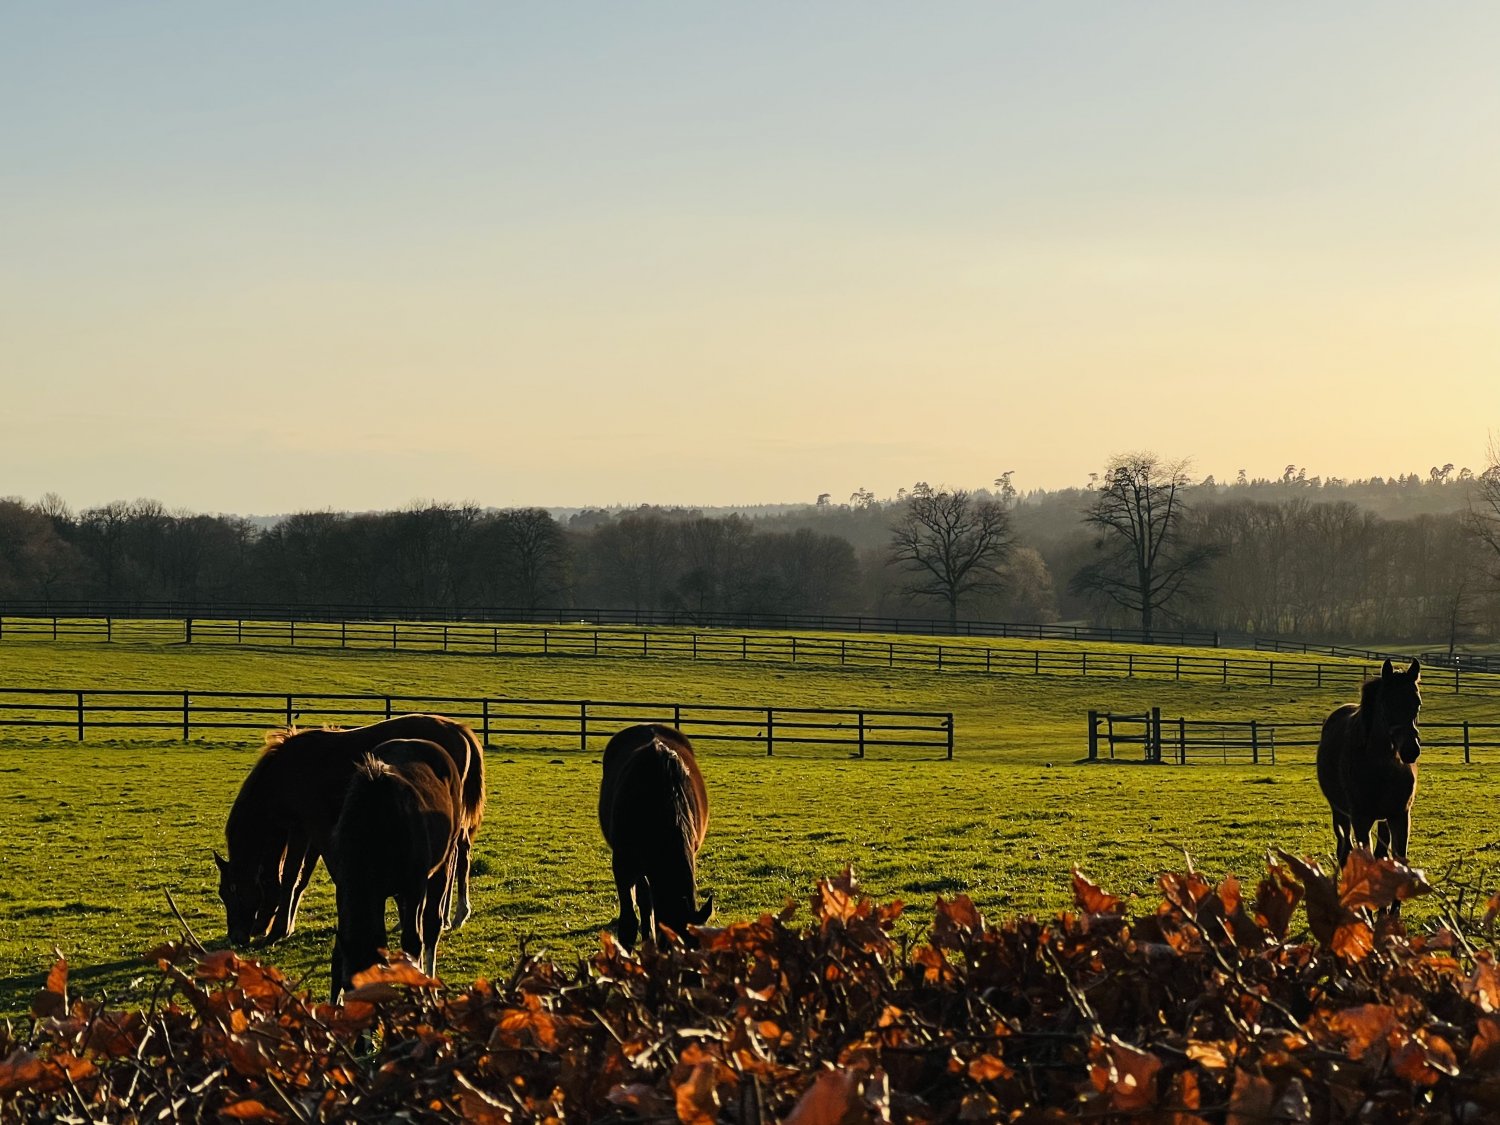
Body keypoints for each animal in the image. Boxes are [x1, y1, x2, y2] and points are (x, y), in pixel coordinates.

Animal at [215, 713, 485, 946]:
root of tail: (457, 729)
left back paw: (454, 914)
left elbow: (291, 875)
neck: (287, 771)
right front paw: (280, 925)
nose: (236, 937)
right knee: (458, 853)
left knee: (458, 856)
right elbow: (299, 877)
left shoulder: (304, 827)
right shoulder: (311, 831)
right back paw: (448, 915)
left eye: (233, 890)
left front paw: (278, 930)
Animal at [326, 737, 464, 1003]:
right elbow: (339, 955)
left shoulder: (414, 887)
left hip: (442, 866)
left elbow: (412, 942)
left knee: (430, 928)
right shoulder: (344, 887)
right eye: (349, 988)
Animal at [1316, 658, 1422, 870]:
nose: (1410, 750)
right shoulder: (1361, 819)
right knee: (1345, 849)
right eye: (1386, 703)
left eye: (1417, 703)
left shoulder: (1400, 816)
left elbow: (1398, 858)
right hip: (1340, 812)